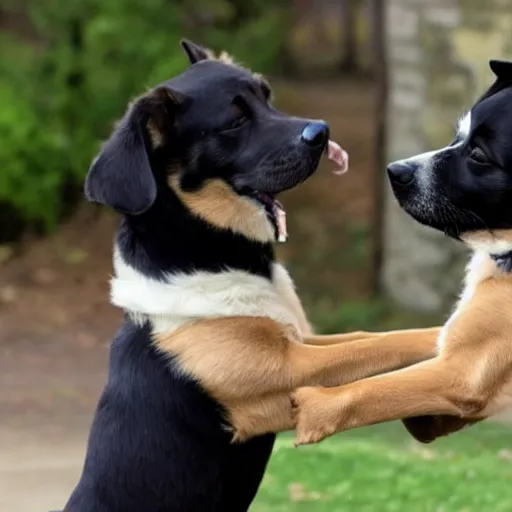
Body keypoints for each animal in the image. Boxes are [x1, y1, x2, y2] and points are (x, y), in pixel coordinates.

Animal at [60, 41, 436, 512]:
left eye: (267, 96)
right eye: (235, 121)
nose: (322, 132)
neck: (217, 255)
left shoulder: (297, 340)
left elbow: (369, 338)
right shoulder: (281, 375)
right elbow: (380, 345)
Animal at [292, 58, 512, 446]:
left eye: (477, 155)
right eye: (458, 137)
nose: (394, 171)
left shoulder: (464, 369)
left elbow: (374, 388)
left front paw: (316, 406)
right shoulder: (451, 337)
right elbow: (385, 341)